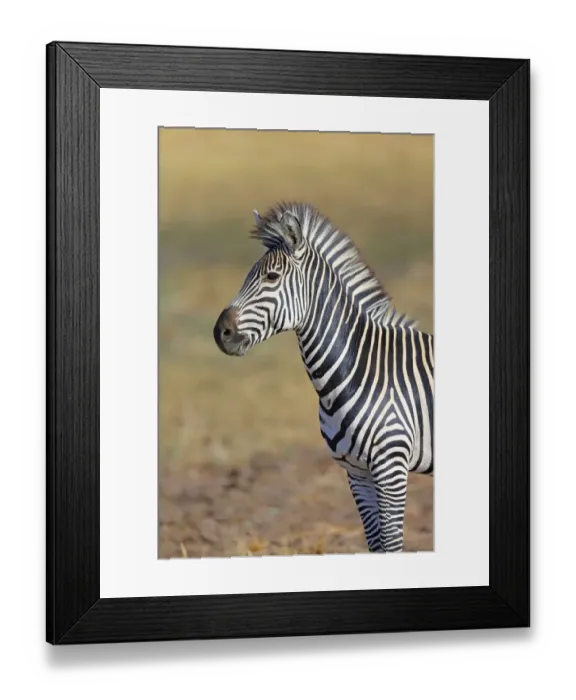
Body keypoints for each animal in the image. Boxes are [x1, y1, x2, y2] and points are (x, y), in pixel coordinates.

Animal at [213, 201, 434, 553]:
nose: (220, 333)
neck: (357, 371)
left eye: (271, 277)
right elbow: (376, 545)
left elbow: (391, 544)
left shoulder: (391, 466)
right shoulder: (357, 472)